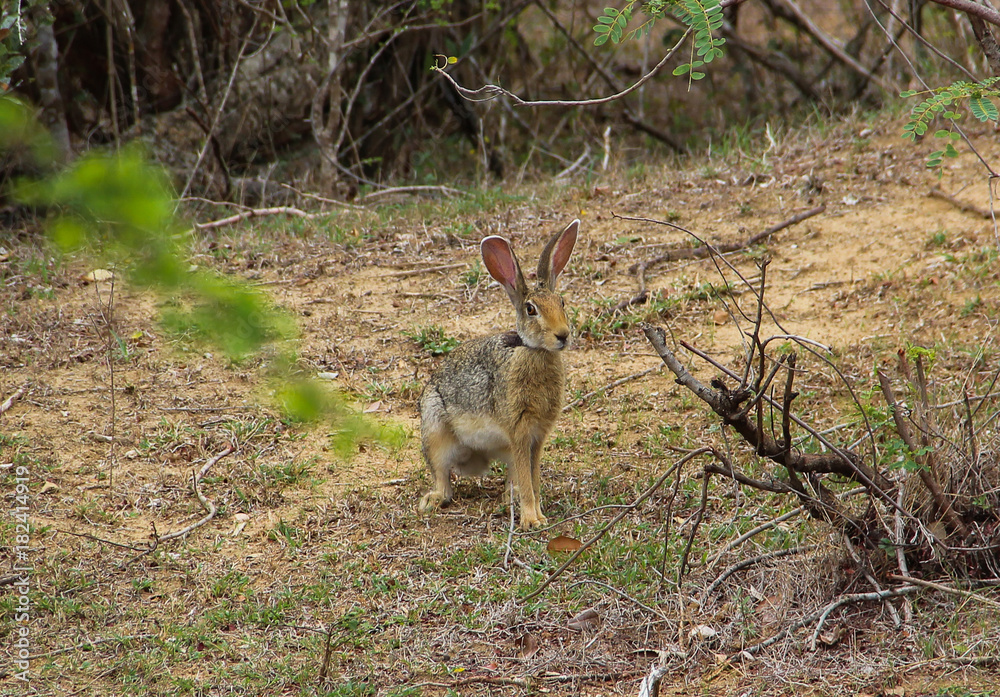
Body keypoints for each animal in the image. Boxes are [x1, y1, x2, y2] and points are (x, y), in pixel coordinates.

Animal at [418, 220, 580, 530]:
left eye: (562, 302)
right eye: (531, 309)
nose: (563, 335)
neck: (534, 351)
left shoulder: (536, 436)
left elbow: (533, 478)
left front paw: (538, 516)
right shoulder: (519, 431)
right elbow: (529, 481)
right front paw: (531, 520)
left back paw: (508, 498)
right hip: (435, 430)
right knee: (442, 476)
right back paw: (433, 499)